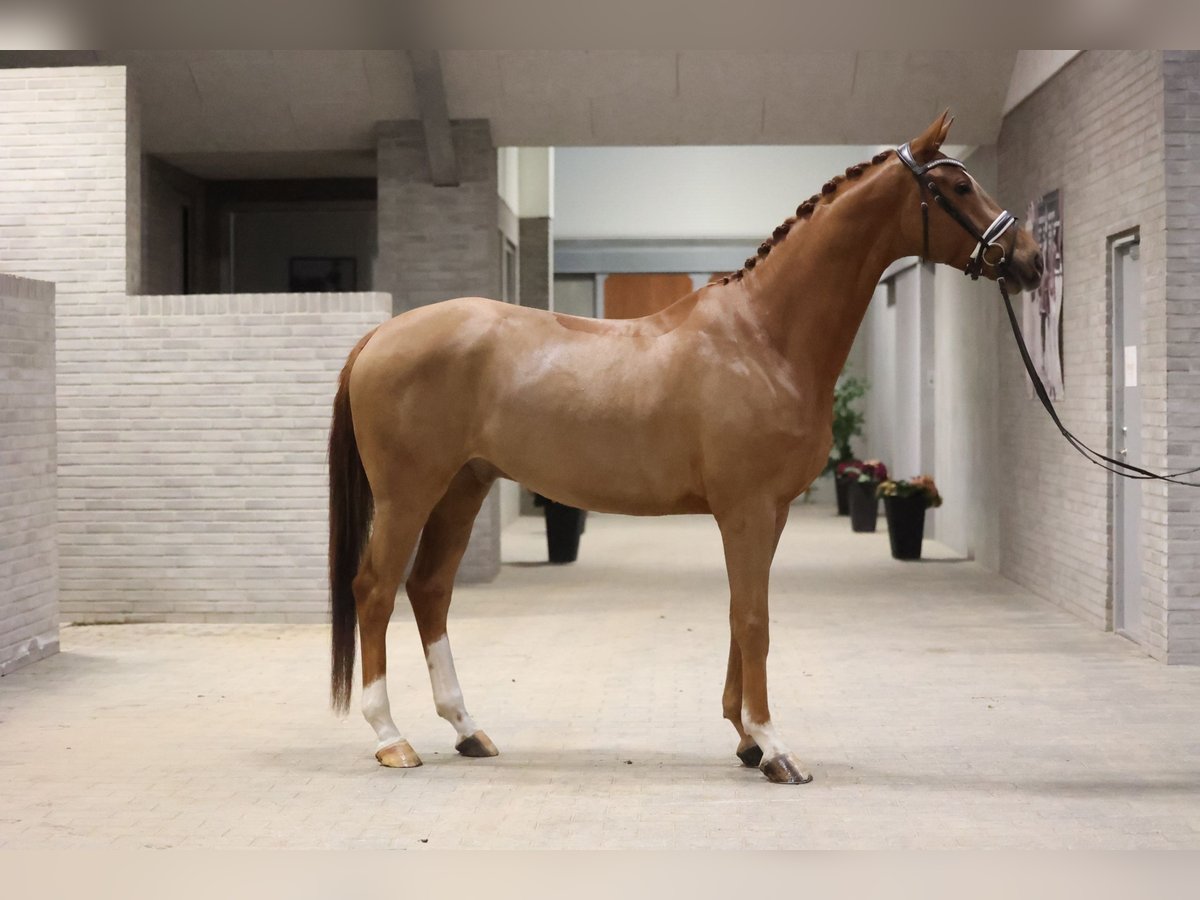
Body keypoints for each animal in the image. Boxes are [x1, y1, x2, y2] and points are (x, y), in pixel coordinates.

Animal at [326, 114, 1041, 787]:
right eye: (958, 187)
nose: (1030, 258)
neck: (763, 337)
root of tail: (380, 335)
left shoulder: (769, 511)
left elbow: (738, 612)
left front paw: (747, 739)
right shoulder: (746, 509)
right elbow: (754, 618)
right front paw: (776, 749)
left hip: (463, 486)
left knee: (430, 589)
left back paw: (468, 729)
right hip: (408, 494)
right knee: (376, 590)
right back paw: (391, 737)